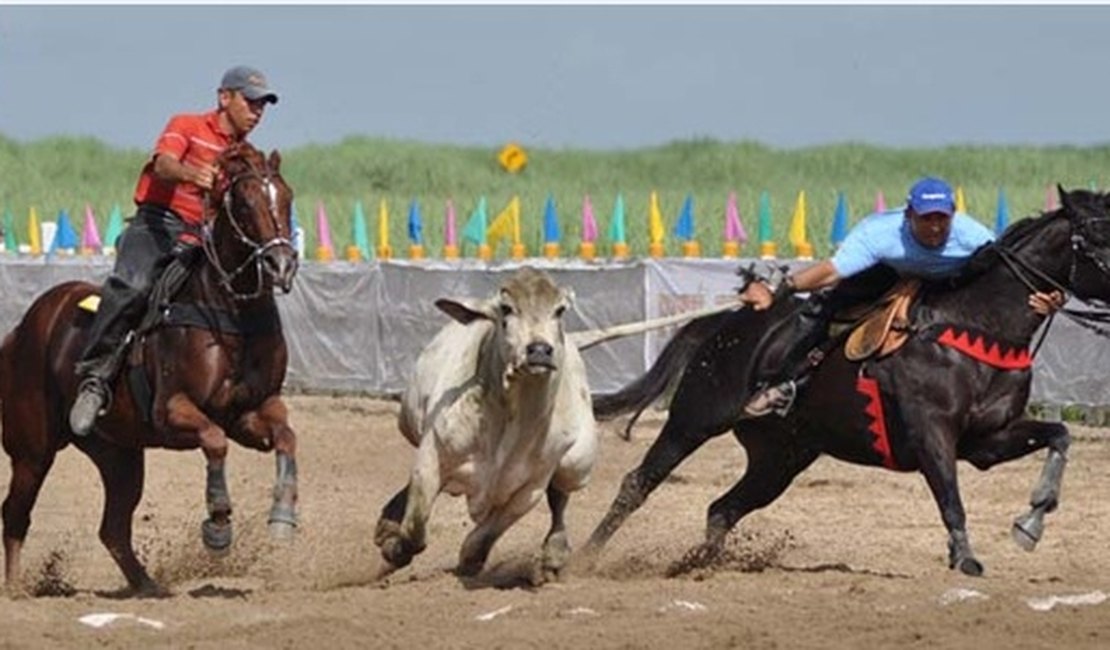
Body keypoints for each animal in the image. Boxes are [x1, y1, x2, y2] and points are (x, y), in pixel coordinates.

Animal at [0, 140, 299, 590]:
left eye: (287, 197)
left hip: (119, 454)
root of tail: (20, 331)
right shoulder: (172, 410)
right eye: (245, 203)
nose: (281, 264)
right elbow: (215, 441)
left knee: (112, 528)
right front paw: (218, 526)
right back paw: (16, 588)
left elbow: (285, 437)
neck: (230, 316)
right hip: (32, 450)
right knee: (16, 514)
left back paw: (147, 585)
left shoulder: (250, 410)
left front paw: (282, 516)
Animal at [586, 186, 1110, 572]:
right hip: (694, 420)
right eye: (1099, 235)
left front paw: (1031, 521)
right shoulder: (932, 432)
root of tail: (721, 325)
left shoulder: (986, 441)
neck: (976, 328)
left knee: (723, 508)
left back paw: (699, 565)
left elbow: (1059, 435)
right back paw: (580, 559)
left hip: (782, 456)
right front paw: (966, 558)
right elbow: (949, 496)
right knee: (638, 483)